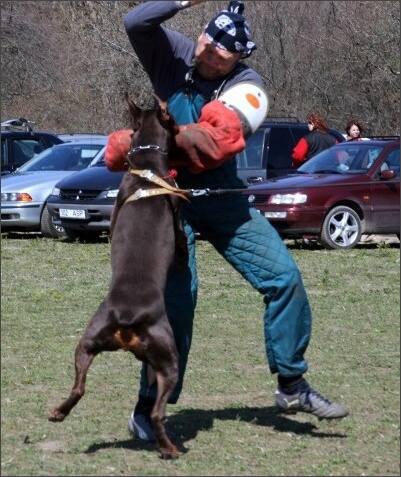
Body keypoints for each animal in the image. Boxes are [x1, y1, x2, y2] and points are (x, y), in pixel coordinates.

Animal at [48, 92, 188, 458]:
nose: (182, 128)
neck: (147, 166)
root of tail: (127, 317)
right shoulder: (177, 211)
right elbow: (181, 237)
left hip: (87, 341)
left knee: (79, 386)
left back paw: (58, 412)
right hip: (169, 357)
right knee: (157, 412)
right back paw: (169, 448)